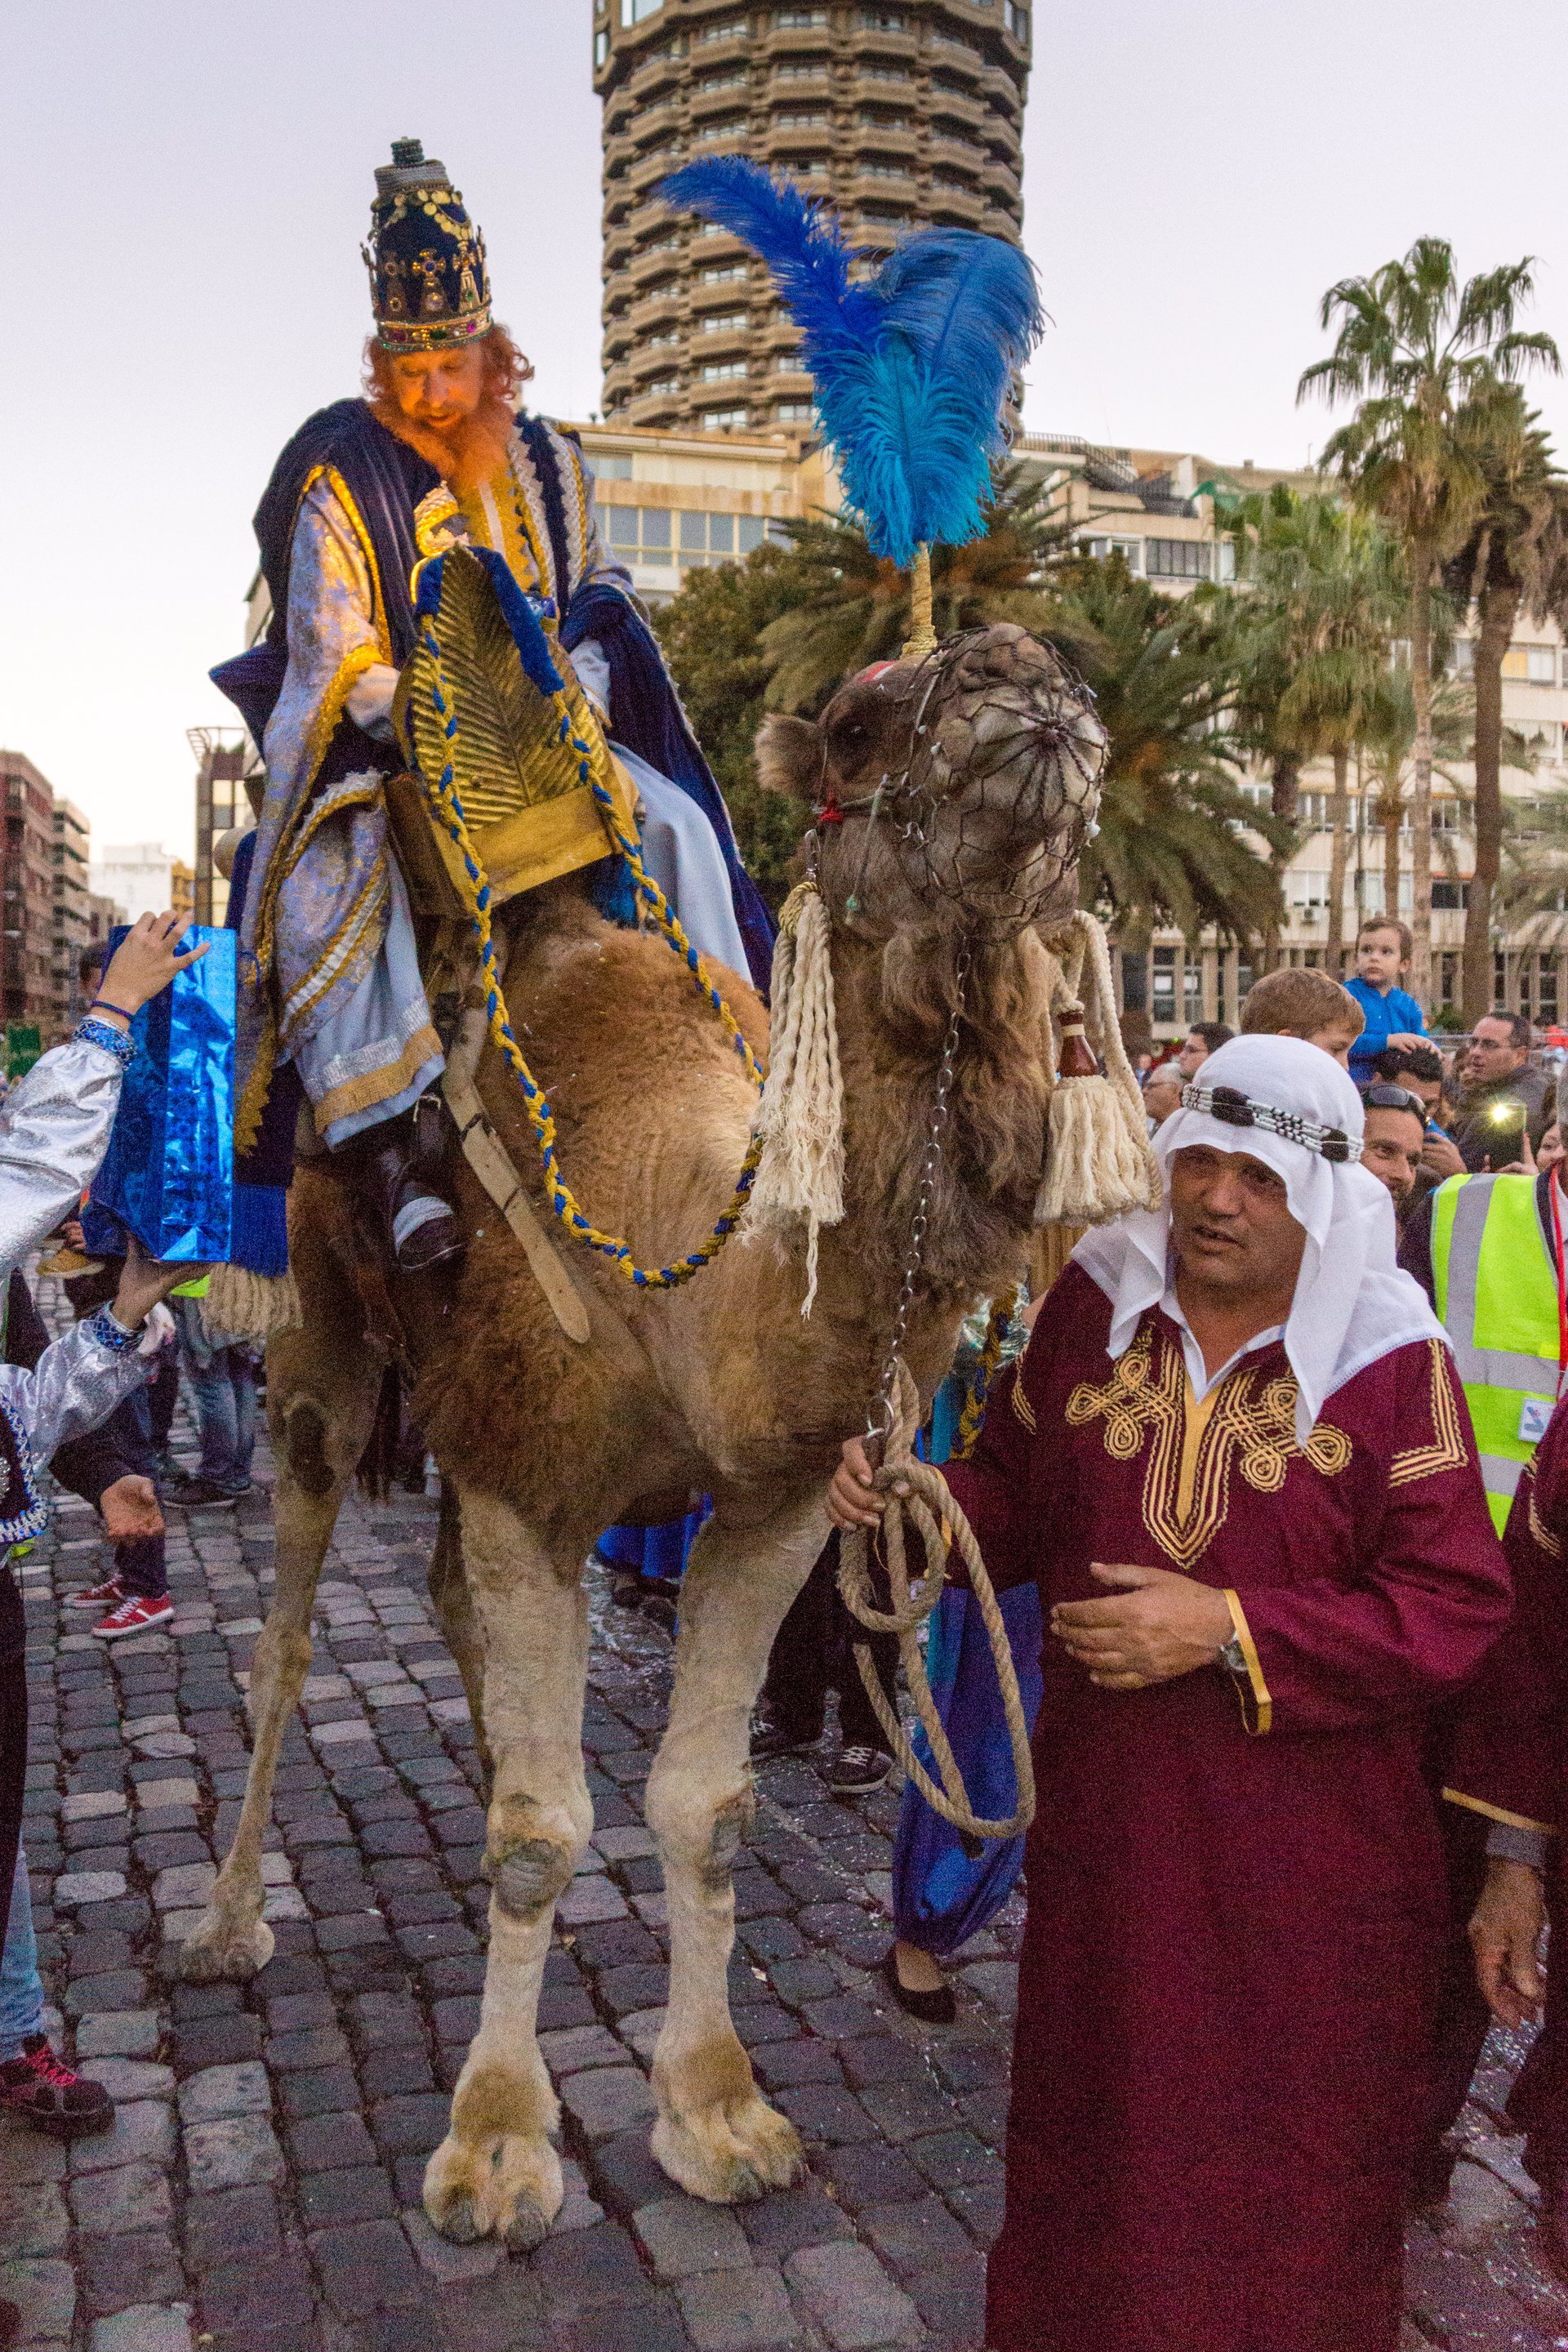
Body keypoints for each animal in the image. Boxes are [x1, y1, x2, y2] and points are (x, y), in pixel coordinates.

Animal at [180, 616, 1104, 2248]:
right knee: (287, 1629)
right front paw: (494, 2148)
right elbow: (545, 1835)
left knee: (443, 1604)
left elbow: (708, 1806)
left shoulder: (774, 1501)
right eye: (859, 719)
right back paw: (230, 1920)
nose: (1029, 676)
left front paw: (719, 2109)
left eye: (1072, 662)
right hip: (318, 1336)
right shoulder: (528, 1479)